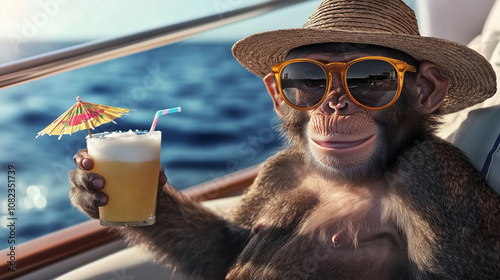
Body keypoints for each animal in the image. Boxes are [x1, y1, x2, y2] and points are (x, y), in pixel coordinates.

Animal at [69, 42, 500, 280]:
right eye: (308, 80)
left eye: (373, 79)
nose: (334, 105)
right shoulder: (278, 169)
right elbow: (224, 247)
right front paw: (94, 188)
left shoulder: (429, 177)